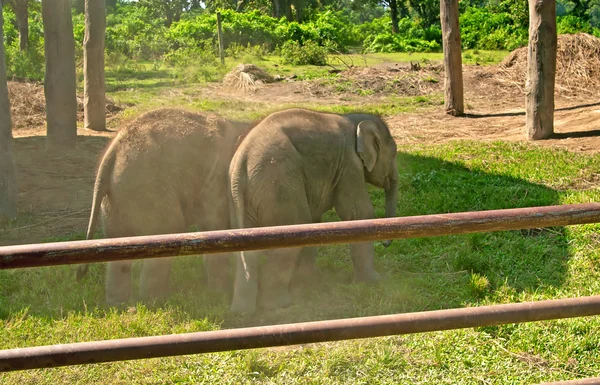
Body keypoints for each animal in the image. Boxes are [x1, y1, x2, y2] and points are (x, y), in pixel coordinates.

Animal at [77, 106, 251, 304]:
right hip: (148, 188)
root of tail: (112, 153)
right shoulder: (216, 178)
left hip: (115, 197)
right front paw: (220, 295)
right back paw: (156, 301)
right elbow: (214, 225)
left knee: (118, 244)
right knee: (168, 230)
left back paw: (120, 304)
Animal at [229, 107, 398, 312]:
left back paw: (242, 312)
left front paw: (305, 284)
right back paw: (279, 306)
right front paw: (373, 282)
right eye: (394, 153)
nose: (385, 244)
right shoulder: (349, 163)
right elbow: (359, 213)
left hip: (244, 198)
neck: (352, 119)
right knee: (293, 229)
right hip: (279, 186)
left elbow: (315, 222)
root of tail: (241, 163)